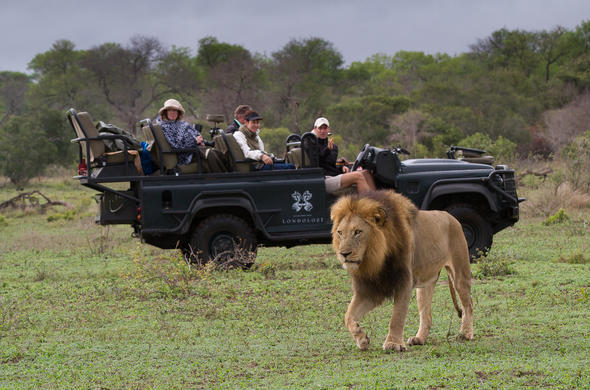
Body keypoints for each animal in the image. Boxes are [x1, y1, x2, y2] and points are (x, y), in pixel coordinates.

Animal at [332, 190, 476, 352]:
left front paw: (392, 344)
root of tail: (451, 217)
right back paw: (419, 339)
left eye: (357, 232)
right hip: (425, 285)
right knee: (426, 315)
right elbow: (348, 316)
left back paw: (466, 333)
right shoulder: (370, 289)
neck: (376, 259)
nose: (343, 254)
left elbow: (397, 317)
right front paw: (362, 338)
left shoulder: (404, 282)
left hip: (459, 273)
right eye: (340, 233)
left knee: (469, 304)